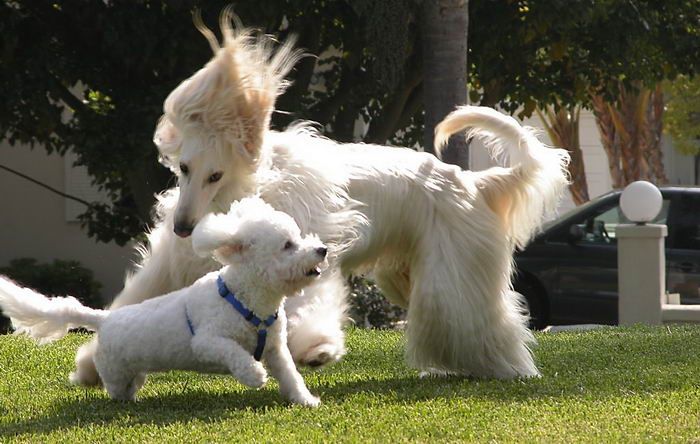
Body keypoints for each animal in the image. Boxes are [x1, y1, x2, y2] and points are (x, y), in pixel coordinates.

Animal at [0, 198, 326, 406]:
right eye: (288, 245)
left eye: (298, 237)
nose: (321, 249)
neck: (246, 298)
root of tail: (104, 319)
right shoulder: (208, 341)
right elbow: (234, 352)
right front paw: (254, 375)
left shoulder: (275, 349)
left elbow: (291, 376)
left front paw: (305, 400)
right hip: (114, 370)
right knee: (116, 389)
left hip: (133, 368)